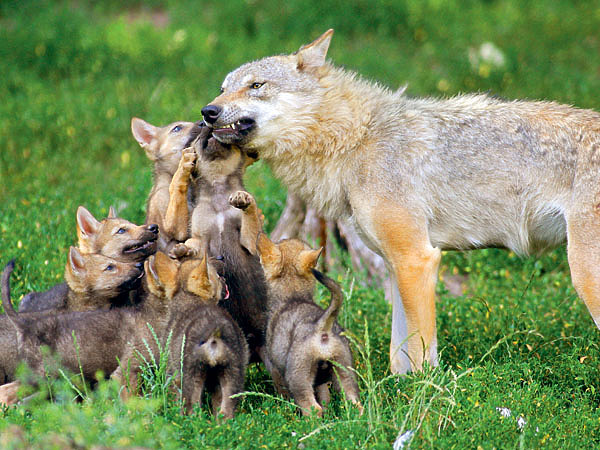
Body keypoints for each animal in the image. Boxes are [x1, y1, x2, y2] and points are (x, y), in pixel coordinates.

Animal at [200, 27, 600, 372]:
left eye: (256, 86)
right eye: (222, 89)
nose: (207, 111)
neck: (356, 139)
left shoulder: (416, 259)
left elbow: (421, 357)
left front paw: (422, 402)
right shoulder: (396, 266)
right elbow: (399, 356)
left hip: (585, 277)